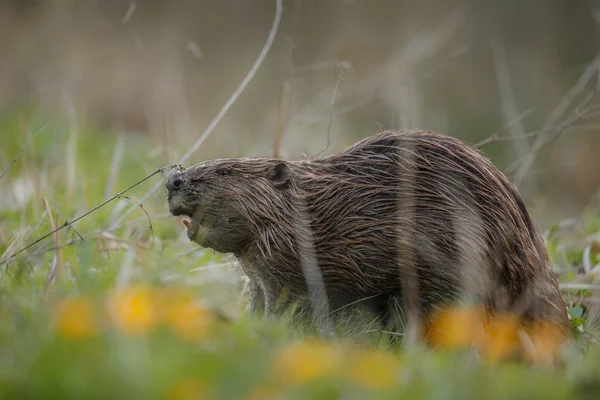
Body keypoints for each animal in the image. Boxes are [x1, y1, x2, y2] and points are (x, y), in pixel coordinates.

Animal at [166, 130, 568, 336]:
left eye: (224, 172)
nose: (173, 180)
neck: (305, 211)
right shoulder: (261, 272)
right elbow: (260, 302)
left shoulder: (297, 266)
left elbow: (297, 307)